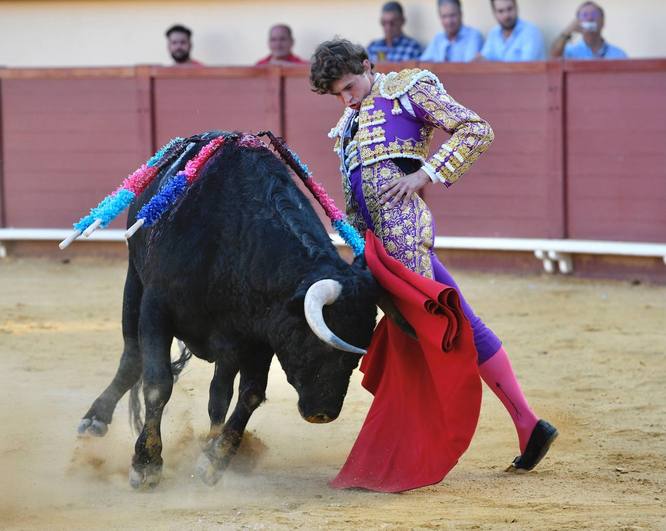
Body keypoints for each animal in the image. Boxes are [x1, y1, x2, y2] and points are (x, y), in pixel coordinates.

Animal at [77, 131, 380, 489]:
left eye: (355, 358)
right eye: (319, 343)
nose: (323, 413)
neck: (234, 240)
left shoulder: (256, 334)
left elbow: (245, 394)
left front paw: (214, 459)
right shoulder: (156, 309)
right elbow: (157, 383)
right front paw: (146, 464)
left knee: (219, 393)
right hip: (134, 282)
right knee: (132, 357)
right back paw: (94, 420)